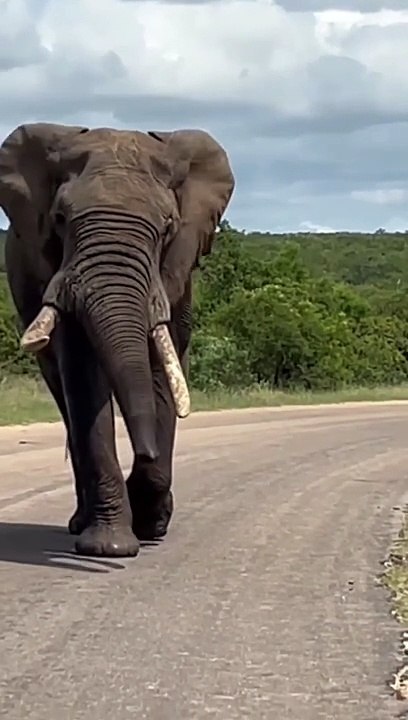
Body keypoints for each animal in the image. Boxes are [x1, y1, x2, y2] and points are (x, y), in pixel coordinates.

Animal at [0, 122, 235, 557]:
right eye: (60, 219)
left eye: (168, 227)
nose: (145, 452)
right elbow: (84, 378)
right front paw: (109, 547)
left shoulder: (175, 276)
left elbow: (161, 373)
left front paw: (151, 524)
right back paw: (81, 522)